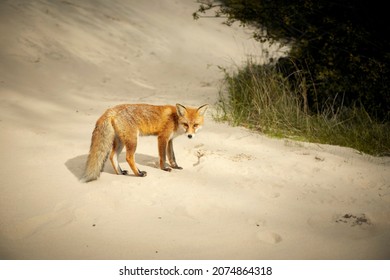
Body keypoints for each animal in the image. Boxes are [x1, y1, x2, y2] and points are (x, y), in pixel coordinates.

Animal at [81, 103, 209, 182]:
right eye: (186, 124)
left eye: (195, 125)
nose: (190, 136)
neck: (175, 119)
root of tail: (111, 110)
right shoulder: (162, 138)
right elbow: (163, 157)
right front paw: (164, 168)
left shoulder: (170, 140)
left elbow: (172, 156)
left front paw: (175, 166)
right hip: (133, 140)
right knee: (129, 157)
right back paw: (138, 173)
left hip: (121, 141)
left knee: (112, 156)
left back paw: (120, 172)